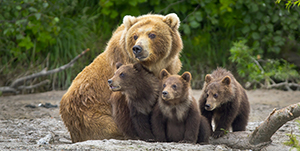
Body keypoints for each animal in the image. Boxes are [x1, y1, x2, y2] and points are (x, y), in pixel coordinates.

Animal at [59, 13, 182, 143]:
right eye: (135, 36)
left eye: (152, 34)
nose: (137, 48)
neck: (153, 66)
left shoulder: (169, 68)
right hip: (89, 114)